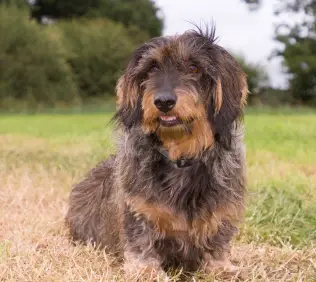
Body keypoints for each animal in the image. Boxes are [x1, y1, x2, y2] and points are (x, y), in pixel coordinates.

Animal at [66, 27, 247, 280]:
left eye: (194, 68)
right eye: (152, 68)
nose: (163, 102)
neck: (179, 154)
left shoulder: (220, 213)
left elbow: (217, 243)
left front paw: (221, 268)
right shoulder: (138, 212)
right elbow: (142, 245)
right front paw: (146, 271)